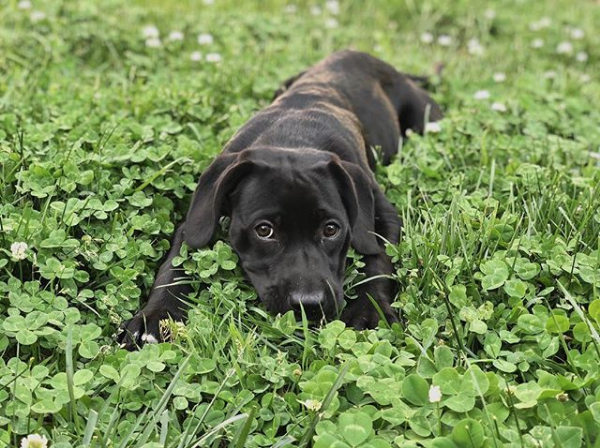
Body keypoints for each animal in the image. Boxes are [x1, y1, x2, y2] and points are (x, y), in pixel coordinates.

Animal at [119, 50, 442, 348]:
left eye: (331, 229)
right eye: (264, 230)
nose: (308, 304)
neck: (294, 139)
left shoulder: (380, 215)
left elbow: (377, 260)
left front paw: (369, 309)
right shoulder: (197, 218)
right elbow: (172, 267)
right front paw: (155, 316)